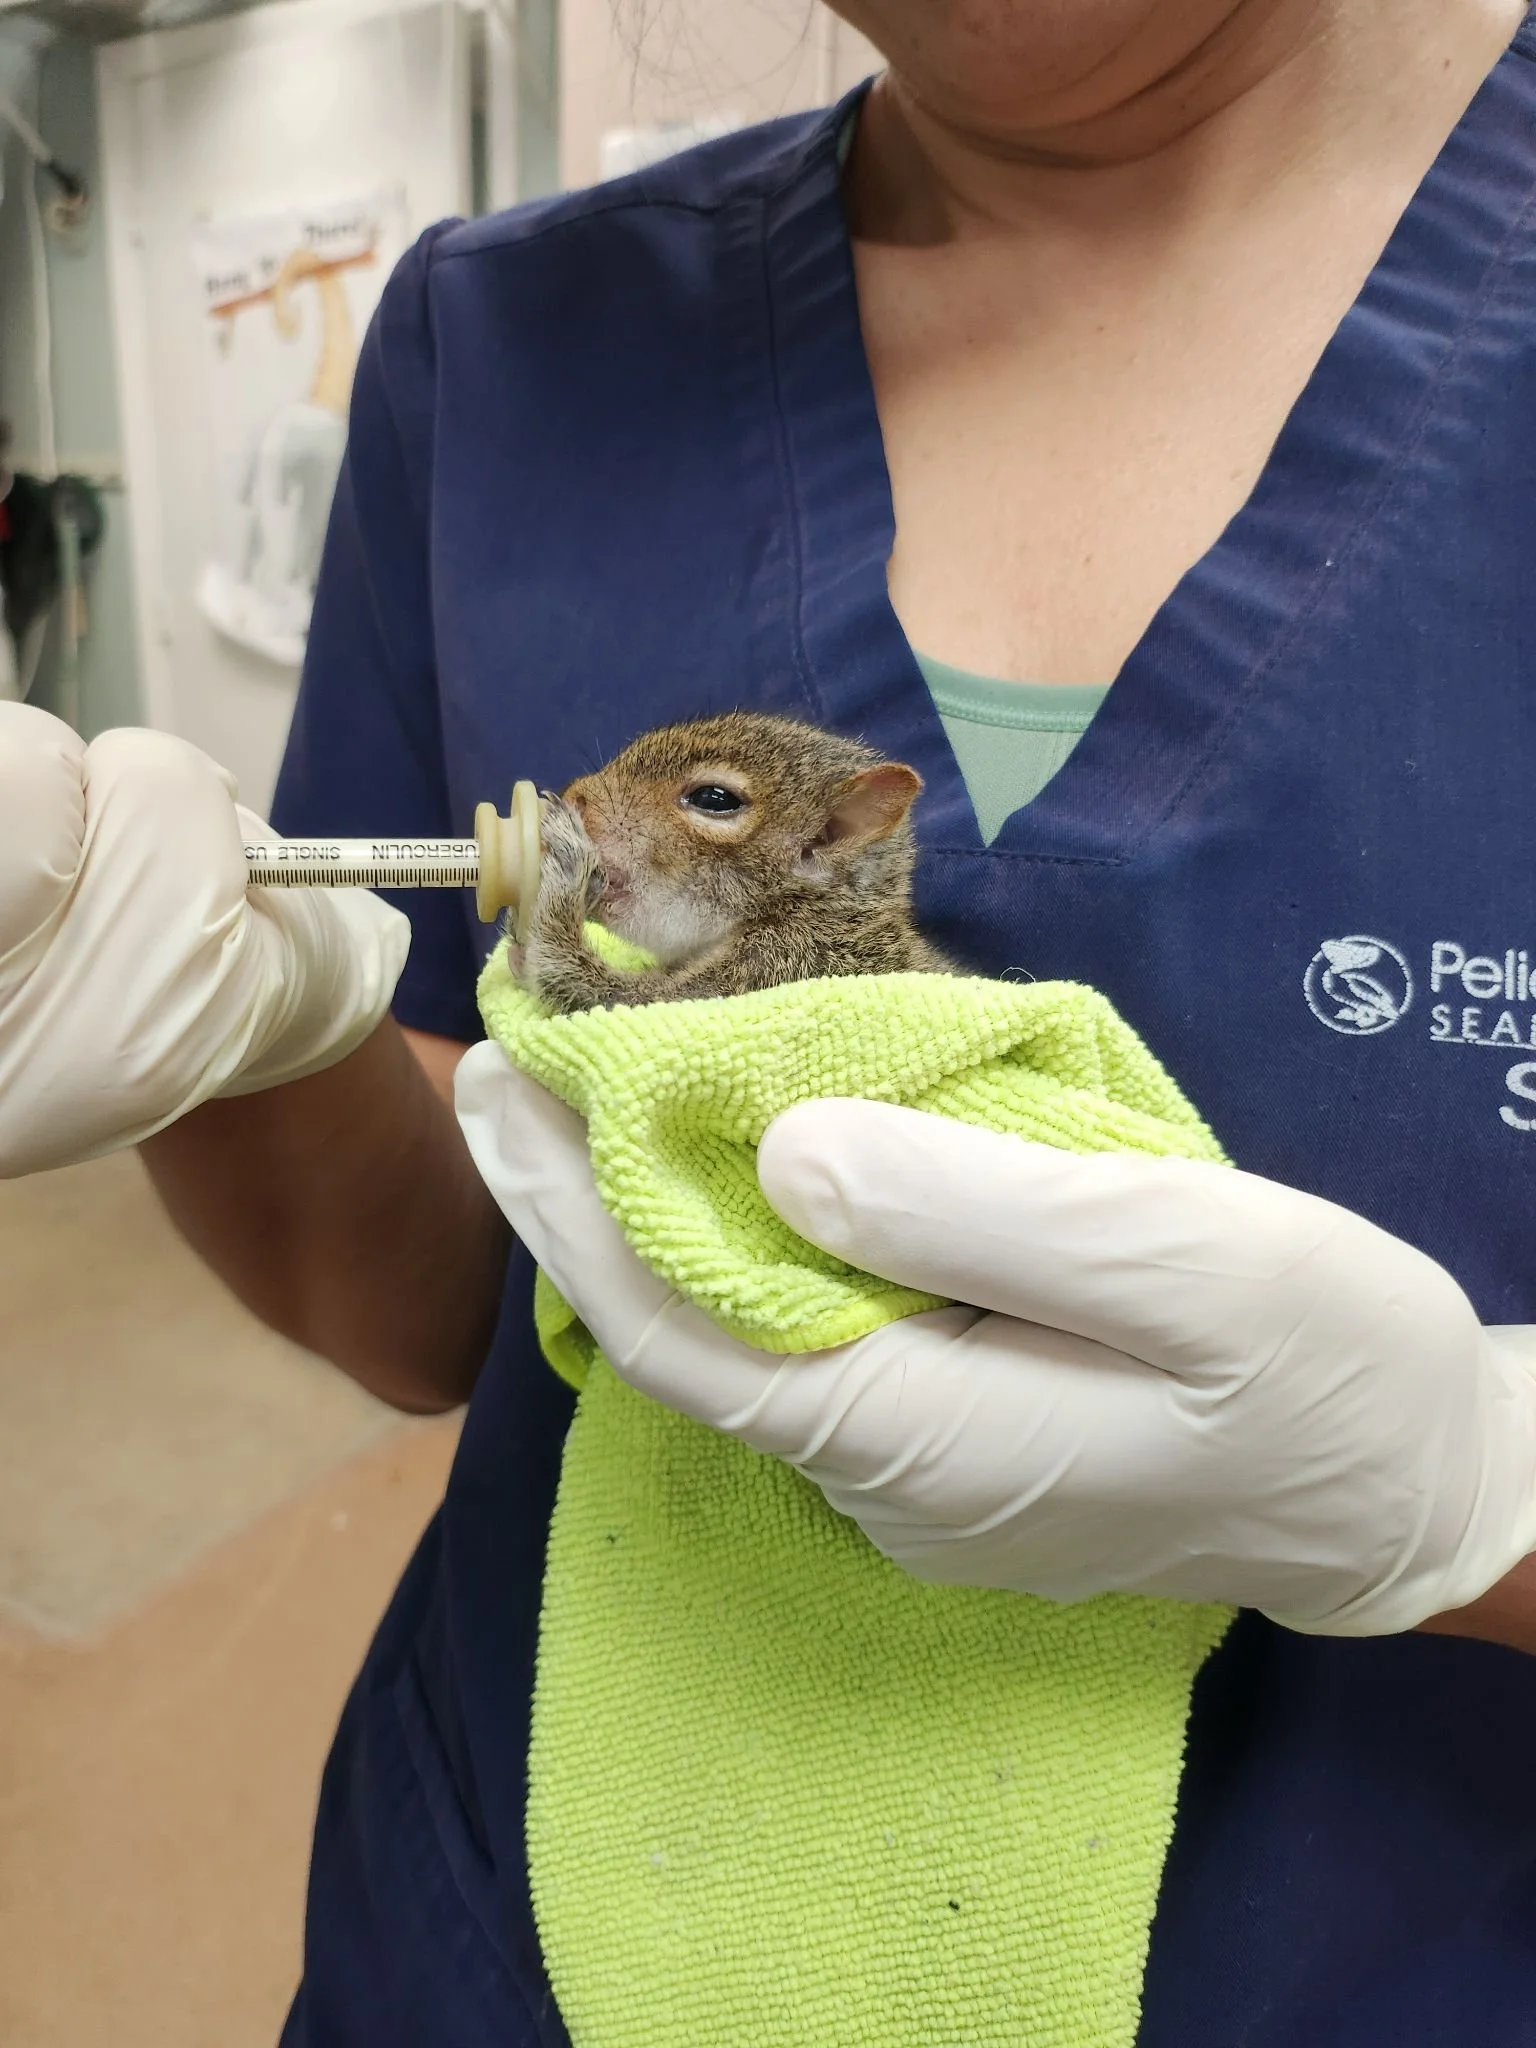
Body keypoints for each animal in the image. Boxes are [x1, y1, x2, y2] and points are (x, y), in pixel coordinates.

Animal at [509, 711, 954, 1014]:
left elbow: (609, 998)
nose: (576, 797)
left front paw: (563, 869)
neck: (817, 913)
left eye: (714, 798)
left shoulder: (779, 969)